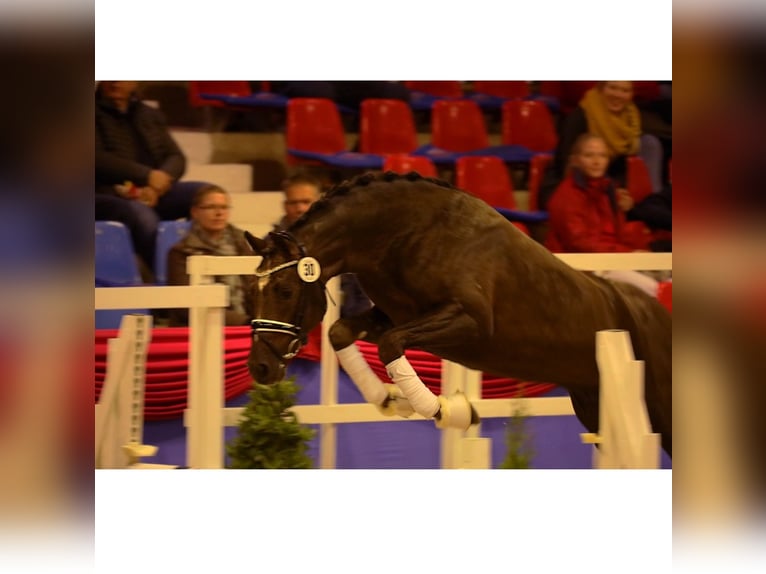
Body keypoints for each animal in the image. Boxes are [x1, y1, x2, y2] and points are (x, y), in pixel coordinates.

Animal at [244, 171, 672, 460]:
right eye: (251, 292)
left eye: (284, 291)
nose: (260, 368)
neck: (408, 233)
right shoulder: (395, 314)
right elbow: (342, 333)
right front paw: (390, 399)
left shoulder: (470, 323)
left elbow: (389, 345)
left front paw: (450, 411)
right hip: (593, 404)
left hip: (655, 406)